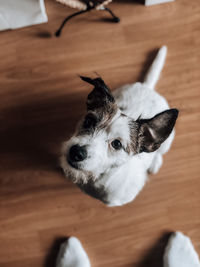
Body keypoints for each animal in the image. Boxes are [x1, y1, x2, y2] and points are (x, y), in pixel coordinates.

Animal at [60, 46, 179, 207]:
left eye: (116, 144)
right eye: (89, 121)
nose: (76, 152)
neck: (97, 177)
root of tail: (148, 87)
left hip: (167, 143)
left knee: (160, 152)